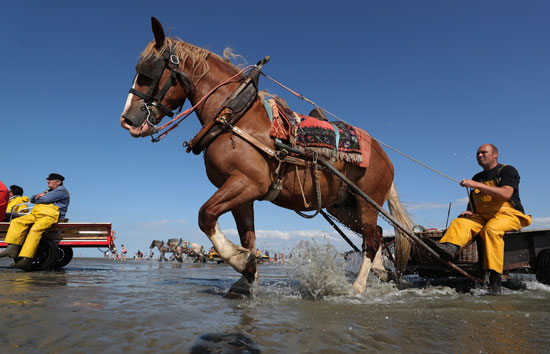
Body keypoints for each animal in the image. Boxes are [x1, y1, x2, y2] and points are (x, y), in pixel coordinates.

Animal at [121, 17, 414, 298]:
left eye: (147, 71)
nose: (127, 120)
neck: (235, 116)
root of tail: (383, 155)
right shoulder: (242, 194)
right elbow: (247, 238)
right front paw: (247, 275)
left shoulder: (249, 183)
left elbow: (206, 215)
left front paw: (240, 260)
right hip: (342, 205)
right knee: (375, 234)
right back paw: (380, 272)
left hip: (368, 200)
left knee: (371, 239)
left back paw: (357, 287)